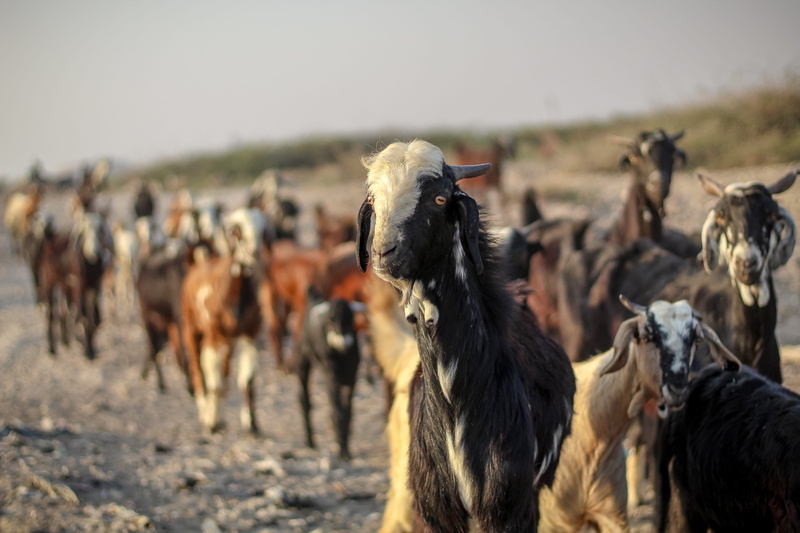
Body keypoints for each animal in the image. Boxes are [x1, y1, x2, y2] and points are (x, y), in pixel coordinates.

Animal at [181, 208, 270, 433]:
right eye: (238, 232)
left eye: (262, 231)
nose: (254, 254)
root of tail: (197, 264)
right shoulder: (212, 334)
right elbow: (214, 382)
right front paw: (211, 422)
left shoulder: (250, 335)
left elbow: (247, 380)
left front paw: (252, 425)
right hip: (191, 328)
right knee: (199, 368)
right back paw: (205, 413)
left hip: (227, 342)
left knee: (224, 371)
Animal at [294, 287, 361, 460]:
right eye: (331, 321)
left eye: (351, 319)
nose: (343, 342)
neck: (342, 356)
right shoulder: (331, 376)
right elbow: (337, 410)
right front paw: (341, 450)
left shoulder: (352, 377)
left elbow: (348, 411)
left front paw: (346, 449)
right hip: (303, 363)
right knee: (304, 400)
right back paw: (310, 442)